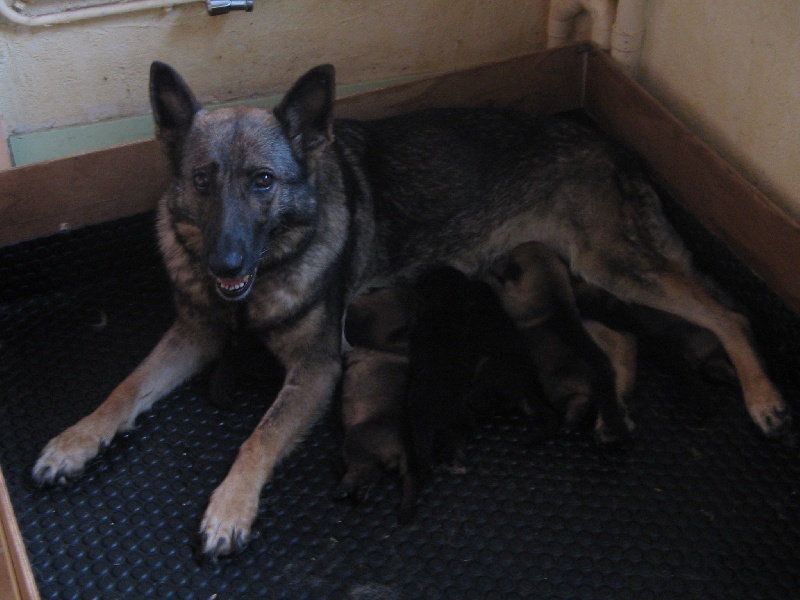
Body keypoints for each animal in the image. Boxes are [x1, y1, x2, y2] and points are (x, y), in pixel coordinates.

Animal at [29, 61, 788, 556]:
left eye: (262, 182)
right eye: (203, 181)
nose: (225, 266)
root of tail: (606, 142)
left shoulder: (316, 369)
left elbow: (259, 437)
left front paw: (230, 506)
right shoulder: (194, 333)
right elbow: (124, 388)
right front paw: (74, 440)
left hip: (617, 267)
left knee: (728, 315)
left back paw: (763, 398)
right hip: (579, 280)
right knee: (620, 341)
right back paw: (616, 406)